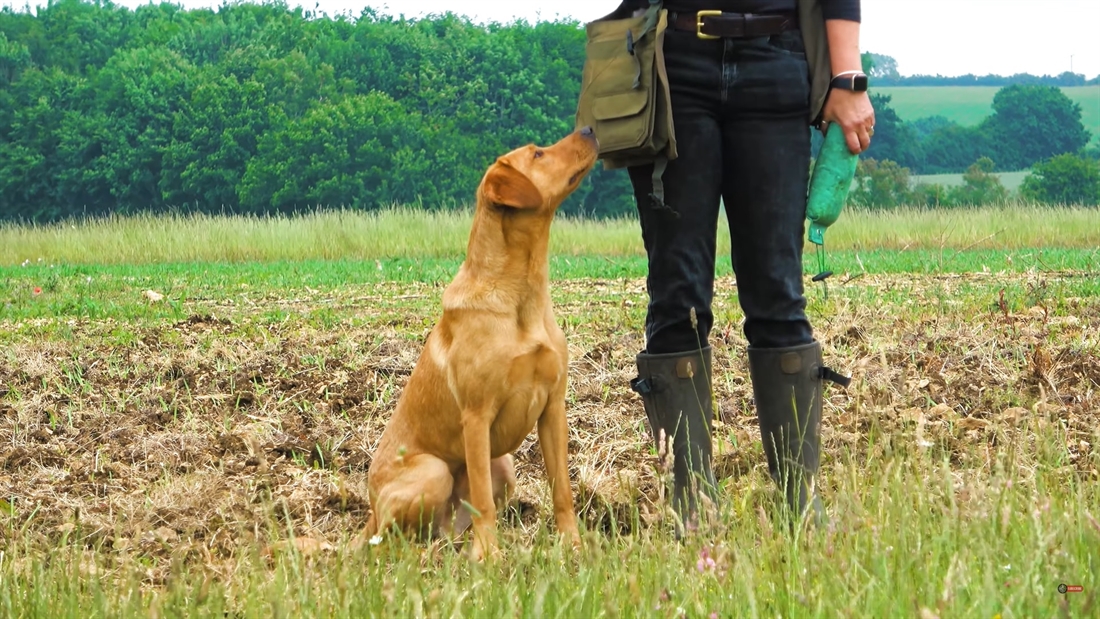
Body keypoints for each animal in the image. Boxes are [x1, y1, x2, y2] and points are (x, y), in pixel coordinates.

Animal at [358, 125, 602, 562]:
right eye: (537, 154)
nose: (589, 128)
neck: (522, 296)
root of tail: (370, 509)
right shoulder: (476, 416)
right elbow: (484, 503)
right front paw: (489, 557)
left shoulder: (553, 408)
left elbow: (562, 489)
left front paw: (572, 545)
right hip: (434, 471)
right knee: (391, 538)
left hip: (503, 465)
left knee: (444, 529)